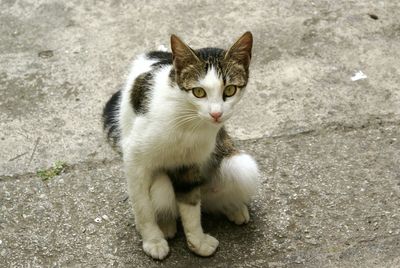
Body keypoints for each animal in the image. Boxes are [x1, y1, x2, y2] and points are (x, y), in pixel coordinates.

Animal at [103, 31, 260, 260]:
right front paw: (152, 240)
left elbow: (190, 203)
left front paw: (198, 241)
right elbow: (142, 205)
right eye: (199, 92)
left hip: (237, 164)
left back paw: (233, 208)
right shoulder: (134, 159)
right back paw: (166, 226)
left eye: (230, 89)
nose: (216, 114)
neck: (188, 119)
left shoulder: (190, 163)